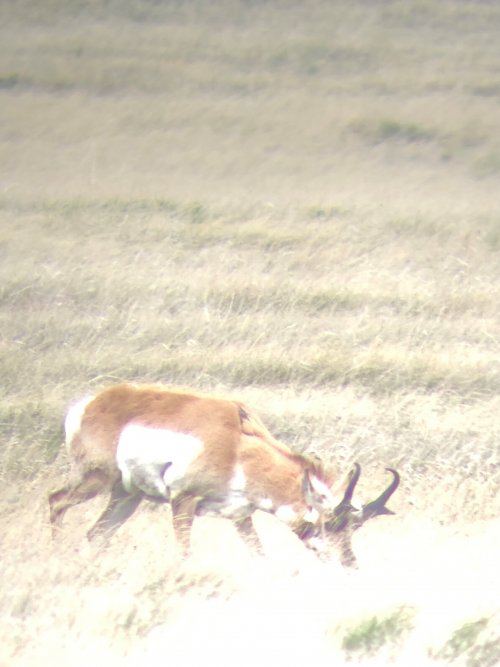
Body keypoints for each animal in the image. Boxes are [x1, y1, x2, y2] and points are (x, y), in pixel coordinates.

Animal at [49, 383, 399, 566]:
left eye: (353, 528)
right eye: (330, 523)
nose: (350, 564)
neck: (238, 447)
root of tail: (91, 402)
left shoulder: (240, 518)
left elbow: (260, 555)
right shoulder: (183, 502)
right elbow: (185, 553)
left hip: (127, 496)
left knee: (96, 533)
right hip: (96, 480)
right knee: (56, 501)